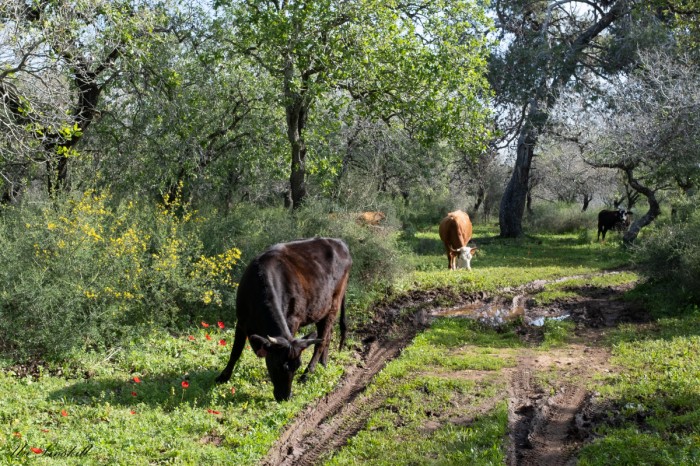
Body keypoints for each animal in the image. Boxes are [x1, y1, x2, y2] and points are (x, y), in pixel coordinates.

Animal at [216, 237, 352, 400]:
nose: (286, 397)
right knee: (327, 336)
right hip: (322, 310)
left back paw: (307, 375)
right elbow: (235, 351)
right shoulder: (241, 322)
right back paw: (323, 364)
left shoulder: (293, 321)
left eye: (296, 366)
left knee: (321, 341)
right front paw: (223, 377)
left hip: (334, 304)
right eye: (278, 365)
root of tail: (340, 242)